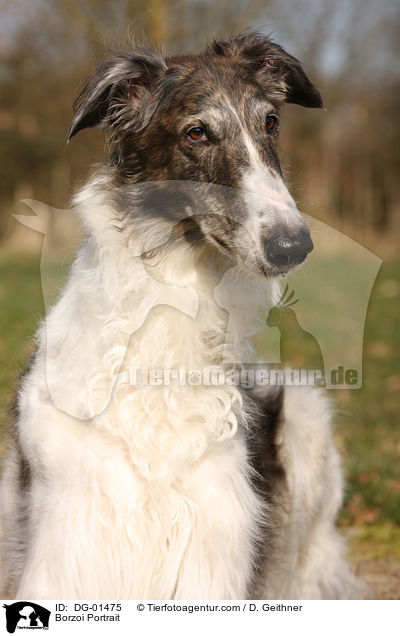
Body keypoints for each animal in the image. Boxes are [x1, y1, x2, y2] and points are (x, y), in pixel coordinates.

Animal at [0, 32, 360, 600]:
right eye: (197, 132)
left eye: (271, 122)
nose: (292, 246)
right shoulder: (68, 535)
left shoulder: (216, 535)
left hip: (305, 419)